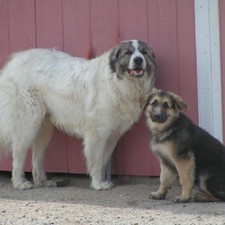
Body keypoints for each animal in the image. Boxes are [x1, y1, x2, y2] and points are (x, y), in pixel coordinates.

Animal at [0, 40, 156, 190]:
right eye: (128, 53)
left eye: (144, 53)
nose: (138, 60)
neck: (117, 82)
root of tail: (15, 61)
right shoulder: (97, 135)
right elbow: (97, 162)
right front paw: (98, 184)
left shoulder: (112, 137)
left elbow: (104, 161)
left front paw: (102, 181)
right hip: (27, 124)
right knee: (18, 155)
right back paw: (20, 183)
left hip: (44, 129)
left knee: (37, 157)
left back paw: (43, 181)